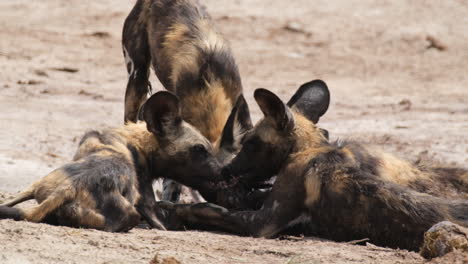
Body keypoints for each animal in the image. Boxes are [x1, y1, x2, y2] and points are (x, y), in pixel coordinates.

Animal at [0, 92, 223, 232]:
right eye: (199, 149)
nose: (223, 171)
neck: (136, 142)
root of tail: (69, 188)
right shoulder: (145, 198)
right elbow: (161, 222)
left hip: (34, 186)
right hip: (129, 215)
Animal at [158, 81, 468, 252]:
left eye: (251, 143)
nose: (226, 170)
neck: (310, 148)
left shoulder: (263, 222)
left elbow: (209, 209)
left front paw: (174, 209)